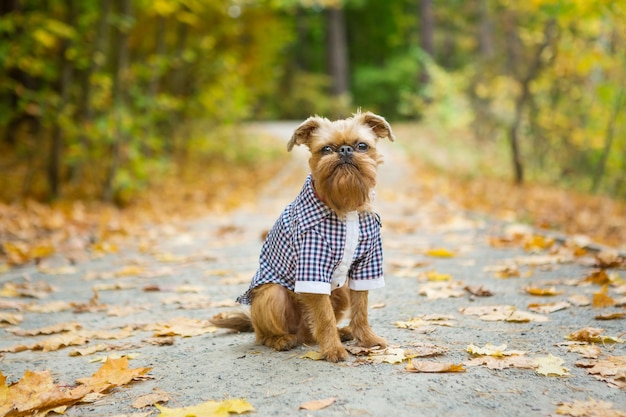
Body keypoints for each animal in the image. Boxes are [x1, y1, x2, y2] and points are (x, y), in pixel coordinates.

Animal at [212, 110, 392, 360]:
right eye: (326, 149)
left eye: (362, 146)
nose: (345, 150)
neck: (345, 206)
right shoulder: (312, 268)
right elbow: (324, 316)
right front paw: (333, 349)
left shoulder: (366, 265)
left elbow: (361, 309)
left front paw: (367, 339)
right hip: (272, 295)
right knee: (265, 335)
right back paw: (282, 340)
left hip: (341, 291)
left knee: (312, 331)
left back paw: (341, 332)